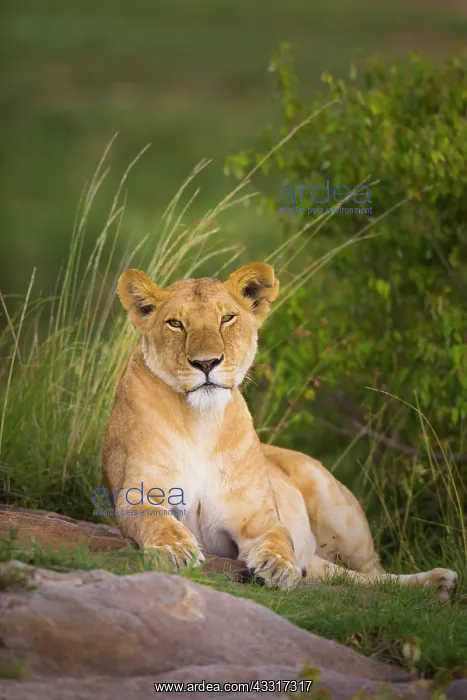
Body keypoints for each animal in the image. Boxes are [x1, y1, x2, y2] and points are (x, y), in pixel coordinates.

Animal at [102, 262, 458, 601]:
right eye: (176, 324)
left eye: (226, 318)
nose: (206, 363)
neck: (201, 420)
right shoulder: (138, 492)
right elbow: (156, 520)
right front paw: (175, 551)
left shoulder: (258, 517)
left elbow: (279, 537)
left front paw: (277, 568)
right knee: (352, 579)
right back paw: (439, 586)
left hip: (340, 511)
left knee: (375, 574)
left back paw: (439, 582)